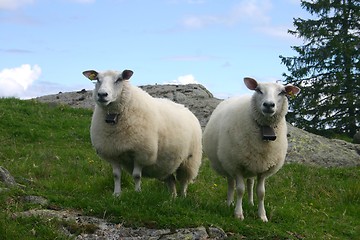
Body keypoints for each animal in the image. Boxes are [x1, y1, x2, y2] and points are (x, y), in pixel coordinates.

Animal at [83, 69, 204, 197]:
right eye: (97, 79)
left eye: (119, 79)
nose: (102, 94)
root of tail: (186, 108)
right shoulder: (113, 153)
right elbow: (116, 176)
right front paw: (116, 194)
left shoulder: (141, 153)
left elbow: (136, 176)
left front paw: (137, 192)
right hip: (167, 163)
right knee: (171, 180)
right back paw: (172, 198)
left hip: (190, 160)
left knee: (184, 181)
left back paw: (183, 197)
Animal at [202, 77, 300, 221]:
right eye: (258, 90)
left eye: (282, 92)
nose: (269, 105)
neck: (264, 128)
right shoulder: (236, 165)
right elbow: (240, 190)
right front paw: (238, 214)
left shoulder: (264, 168)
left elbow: (261, 193)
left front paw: (262, 216)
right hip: (227, 162)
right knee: (231, 184)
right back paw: (229, 203)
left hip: (252, 163)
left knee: (250, 183)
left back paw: (250, 203)